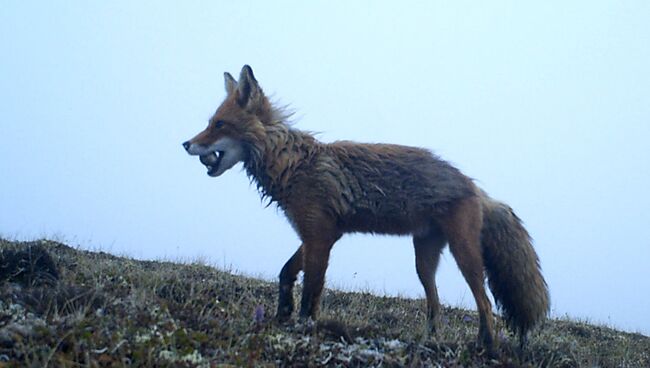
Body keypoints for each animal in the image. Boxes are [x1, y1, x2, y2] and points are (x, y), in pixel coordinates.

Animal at [181, 66, 548, 350]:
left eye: (218, 125)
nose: (185, 144)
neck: (292, 164)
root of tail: (474, 186)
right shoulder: (315, 233)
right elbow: (287, 273)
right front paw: (282, 311)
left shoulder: (321, 236)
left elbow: (311, 291)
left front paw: (304, 326)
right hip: (424, 260)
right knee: (436, 304)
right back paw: (431, 339)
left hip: (465, 255)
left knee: (484, 303)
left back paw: (487, 345)